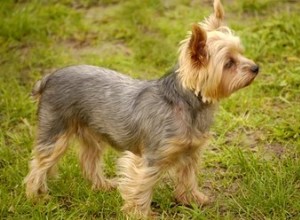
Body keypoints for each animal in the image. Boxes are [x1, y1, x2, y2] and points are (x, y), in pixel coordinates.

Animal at [24, 0, 258, 217]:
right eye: (229, 63)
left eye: (241, 54)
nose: (256, 67)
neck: (187, 102)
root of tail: (49, 78)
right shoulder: (150, 158)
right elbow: (141, 188)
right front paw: (139, 214)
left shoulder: (191, 152)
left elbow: (188, 176)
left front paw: (191, 199)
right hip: (55, 131)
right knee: (39, 164)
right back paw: (36, 198)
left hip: (90, 132)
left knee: (89, 160)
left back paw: (102, 185)